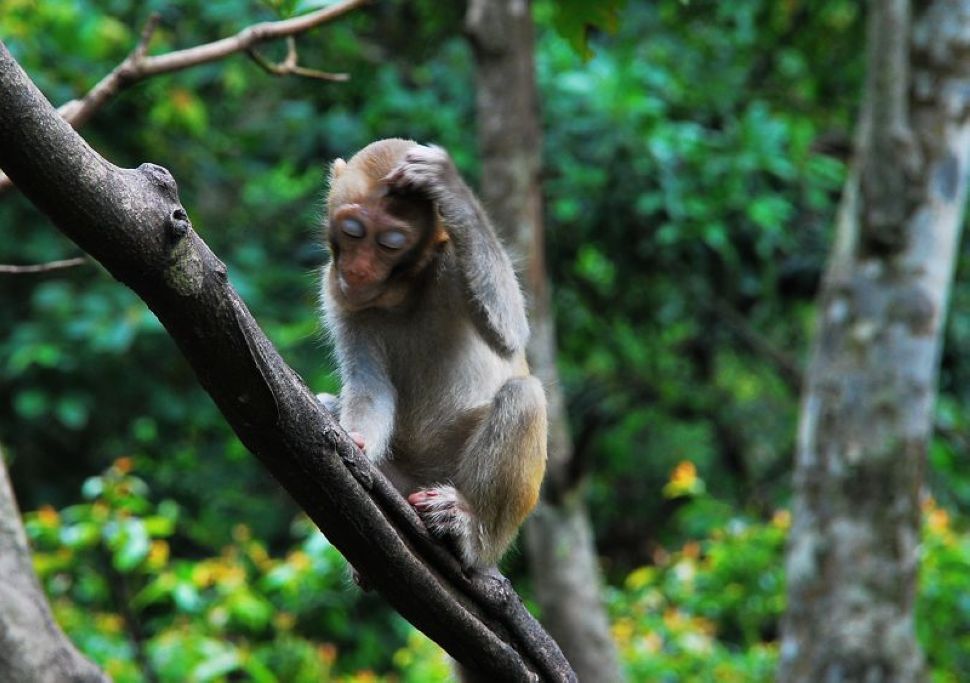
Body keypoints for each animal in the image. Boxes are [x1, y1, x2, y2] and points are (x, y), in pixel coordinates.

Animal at [320, 139, 540, 572]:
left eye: (390, 243)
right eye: (353, 231)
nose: (358, 271)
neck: (403, 291)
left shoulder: (454, 263)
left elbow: (511, 329)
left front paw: (447, 183)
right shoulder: (338, 293)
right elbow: (370, 387)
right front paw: (355, 440)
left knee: (524, 395)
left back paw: (470, 532)